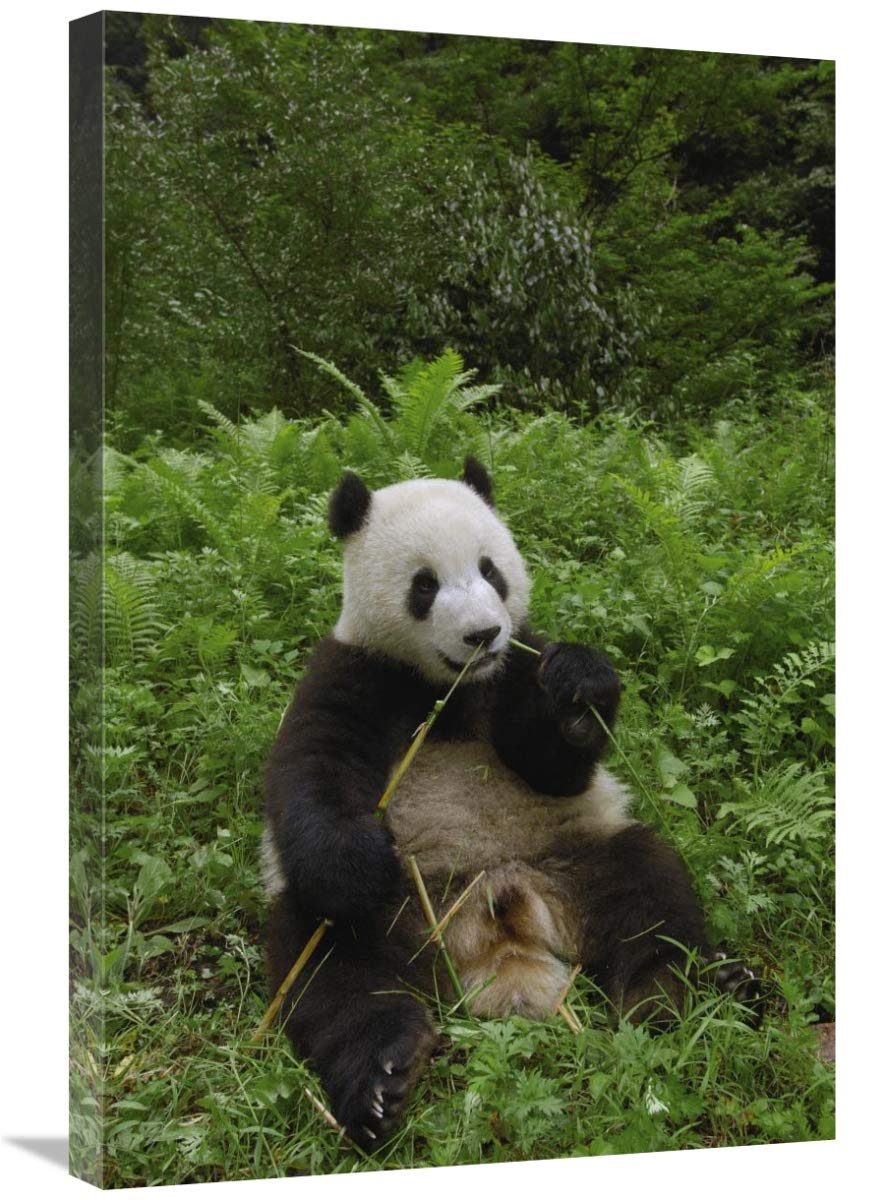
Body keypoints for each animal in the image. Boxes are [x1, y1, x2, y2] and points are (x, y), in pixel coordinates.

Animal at [262, 457, 760, 1149]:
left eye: (491, 570)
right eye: (424, 585)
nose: (483, 634)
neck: (452, 688)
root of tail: (499, 919)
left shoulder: (519, 665)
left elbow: (551, 766)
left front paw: (580, 690)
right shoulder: (353, 672)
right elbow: (313, 774)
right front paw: (358, 864)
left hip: (574, 855)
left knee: (648, 889)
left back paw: (684, 992)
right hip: (396, 914)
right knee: (329, 965)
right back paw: (380, 1075)